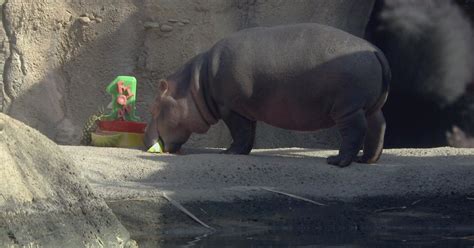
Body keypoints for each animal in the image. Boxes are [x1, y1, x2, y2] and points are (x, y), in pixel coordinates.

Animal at [144, 22, 388, 167]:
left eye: (153, 108)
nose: (145, 140)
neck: (195, 85)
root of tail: (376, 51)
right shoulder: (244, 109)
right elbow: (248, 134)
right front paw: (240, 153)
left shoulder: (231, 108)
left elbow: (240, 133)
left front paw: (228, 153)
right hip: (370, 108)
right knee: (378, 127)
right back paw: (366, 160)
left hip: (348, 108)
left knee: (355, 131)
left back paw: (337, 160)